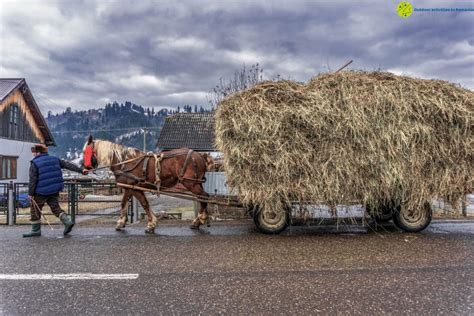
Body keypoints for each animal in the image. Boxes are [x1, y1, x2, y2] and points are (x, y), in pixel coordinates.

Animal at [83, 139, 213, 233]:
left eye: (85, 152)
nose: (84, 169)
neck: (125, 163)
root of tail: (200, 155)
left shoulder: (133, 188)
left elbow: (142, 204)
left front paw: (150, 225)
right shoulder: (130, 188)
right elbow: (127, 203)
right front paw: (122, 222)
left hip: (191, 183)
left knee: (204, 197)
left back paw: (199, 220)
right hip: (196, 183)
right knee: (203, 197)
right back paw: (199, 221)